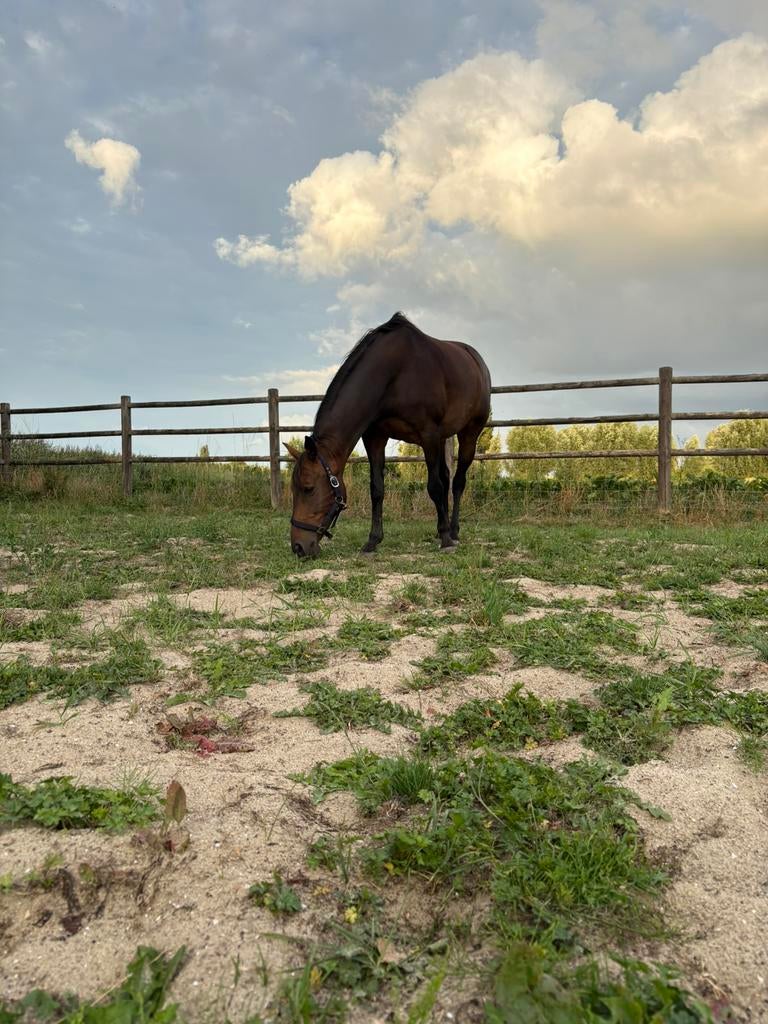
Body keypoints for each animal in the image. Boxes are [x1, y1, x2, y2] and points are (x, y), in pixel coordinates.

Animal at [285, 312, 491, 558]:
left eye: (308, 488)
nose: (298, 547)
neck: (393, 374)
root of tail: (477, 360)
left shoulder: (428, 435)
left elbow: (434, 487)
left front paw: (446, 539)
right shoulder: (375, 437)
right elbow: (377, 489)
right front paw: (373, 540)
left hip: (469, 432)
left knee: (457, 481)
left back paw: (454, 531)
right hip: (442, 439)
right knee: (445, 475)